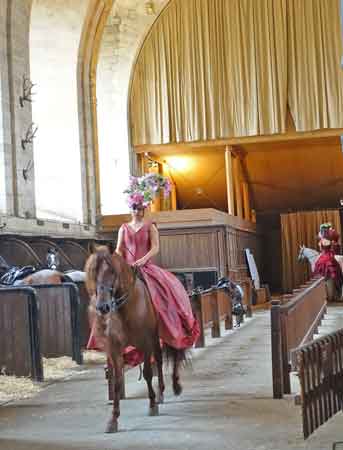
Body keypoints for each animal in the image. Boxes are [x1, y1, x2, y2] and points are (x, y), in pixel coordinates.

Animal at [86, 246, 188, 432]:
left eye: (112, 271)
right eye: (93, 272)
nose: (103, 307)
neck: (125, 309)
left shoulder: (145, 342)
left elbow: (147, 373)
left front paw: (152, 405)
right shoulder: (115, 348)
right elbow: (117, 382)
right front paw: (113, 419)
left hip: (168, 332)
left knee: (175, 355)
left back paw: (175, 387)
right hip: (155, 338)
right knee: (160, 360)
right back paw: (161, 393)